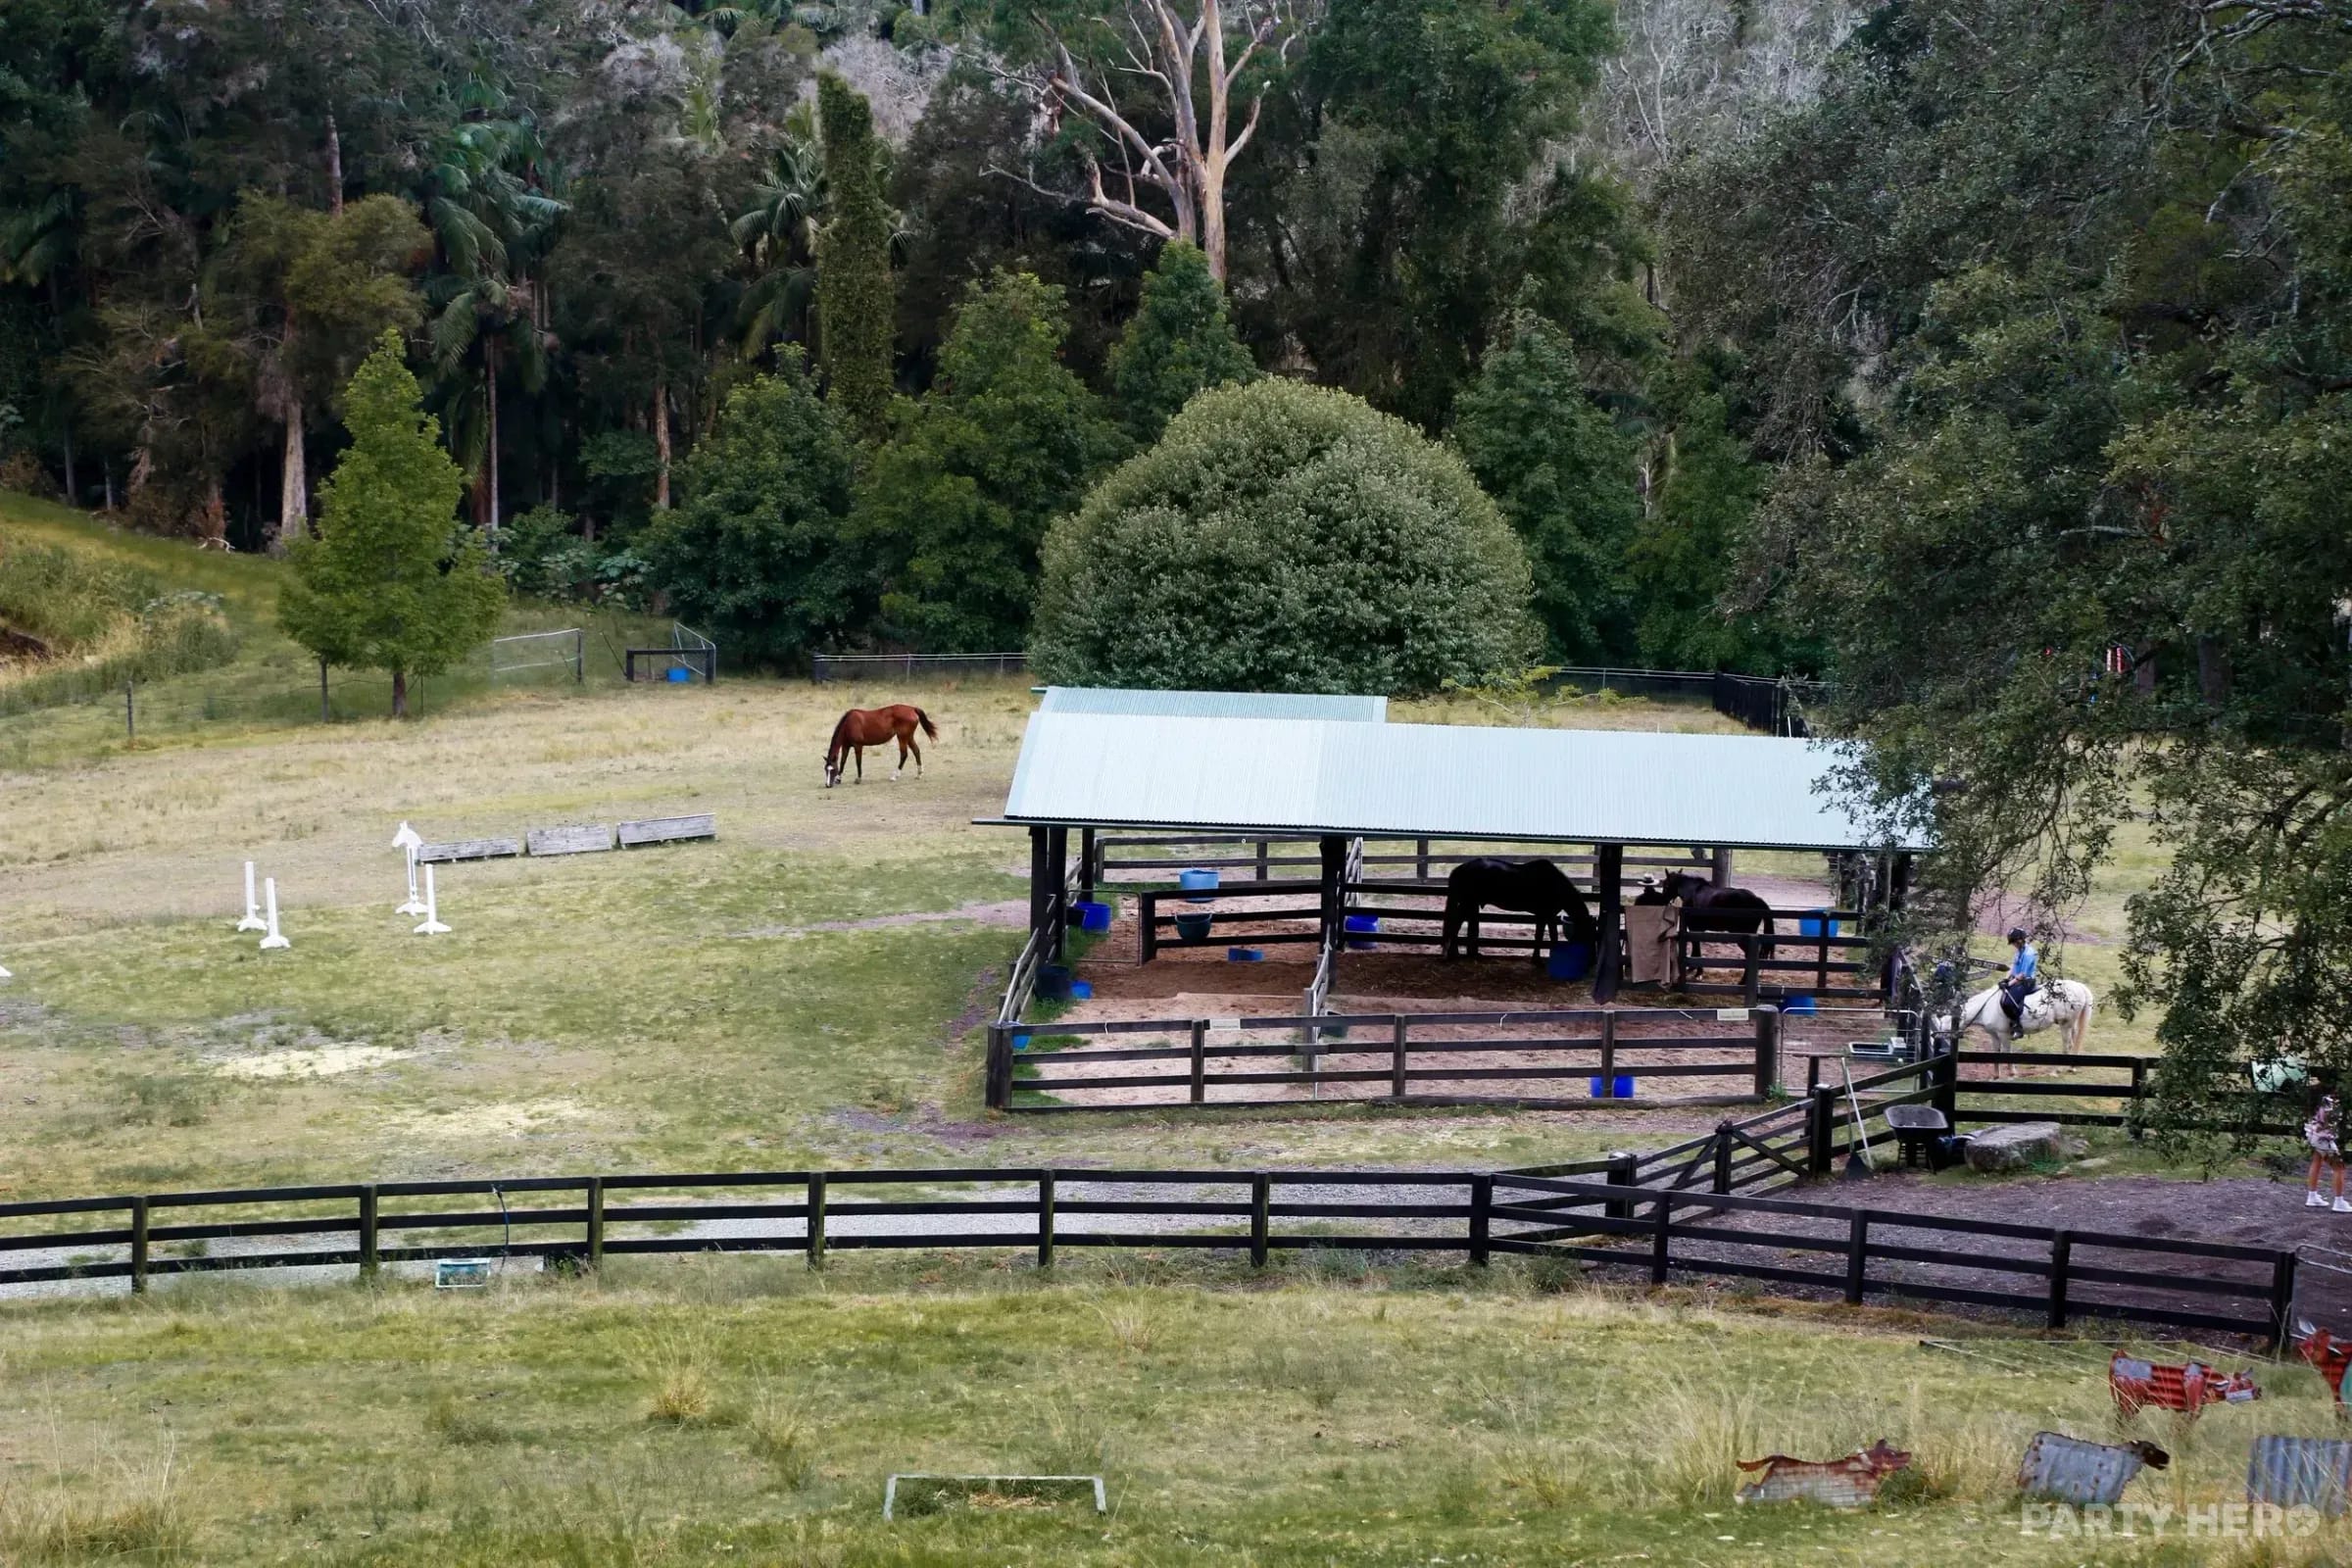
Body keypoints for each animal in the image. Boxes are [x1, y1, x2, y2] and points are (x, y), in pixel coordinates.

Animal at [1442, 858, 1598, 964]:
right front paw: (1538, 960)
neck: (1555, 885)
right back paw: (1451, 955)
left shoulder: (1548, 915)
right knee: (1455, 925)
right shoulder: (1544, 915)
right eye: (1588, 935)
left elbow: (1549, 936)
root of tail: (1459, 869)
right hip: (1467, 903)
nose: (1593, 961)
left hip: (1469, 904)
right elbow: (1543, 936)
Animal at [1942, 977, 2096, 1075]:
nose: (1944, 1051)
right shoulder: (1994, 1035)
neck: (1986, 1007)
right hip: (2071, 1025)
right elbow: (1995, 1052)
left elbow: (2007, 1052)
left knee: (2067, 1045)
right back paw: (2072, 1067)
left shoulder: (2004, 1034)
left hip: (2065, 1025)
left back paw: (2057, 1070)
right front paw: (1995, 1076)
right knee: (2074, 1043)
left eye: (1946, 1031)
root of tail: (2079, 986)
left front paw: (2011, 1073)